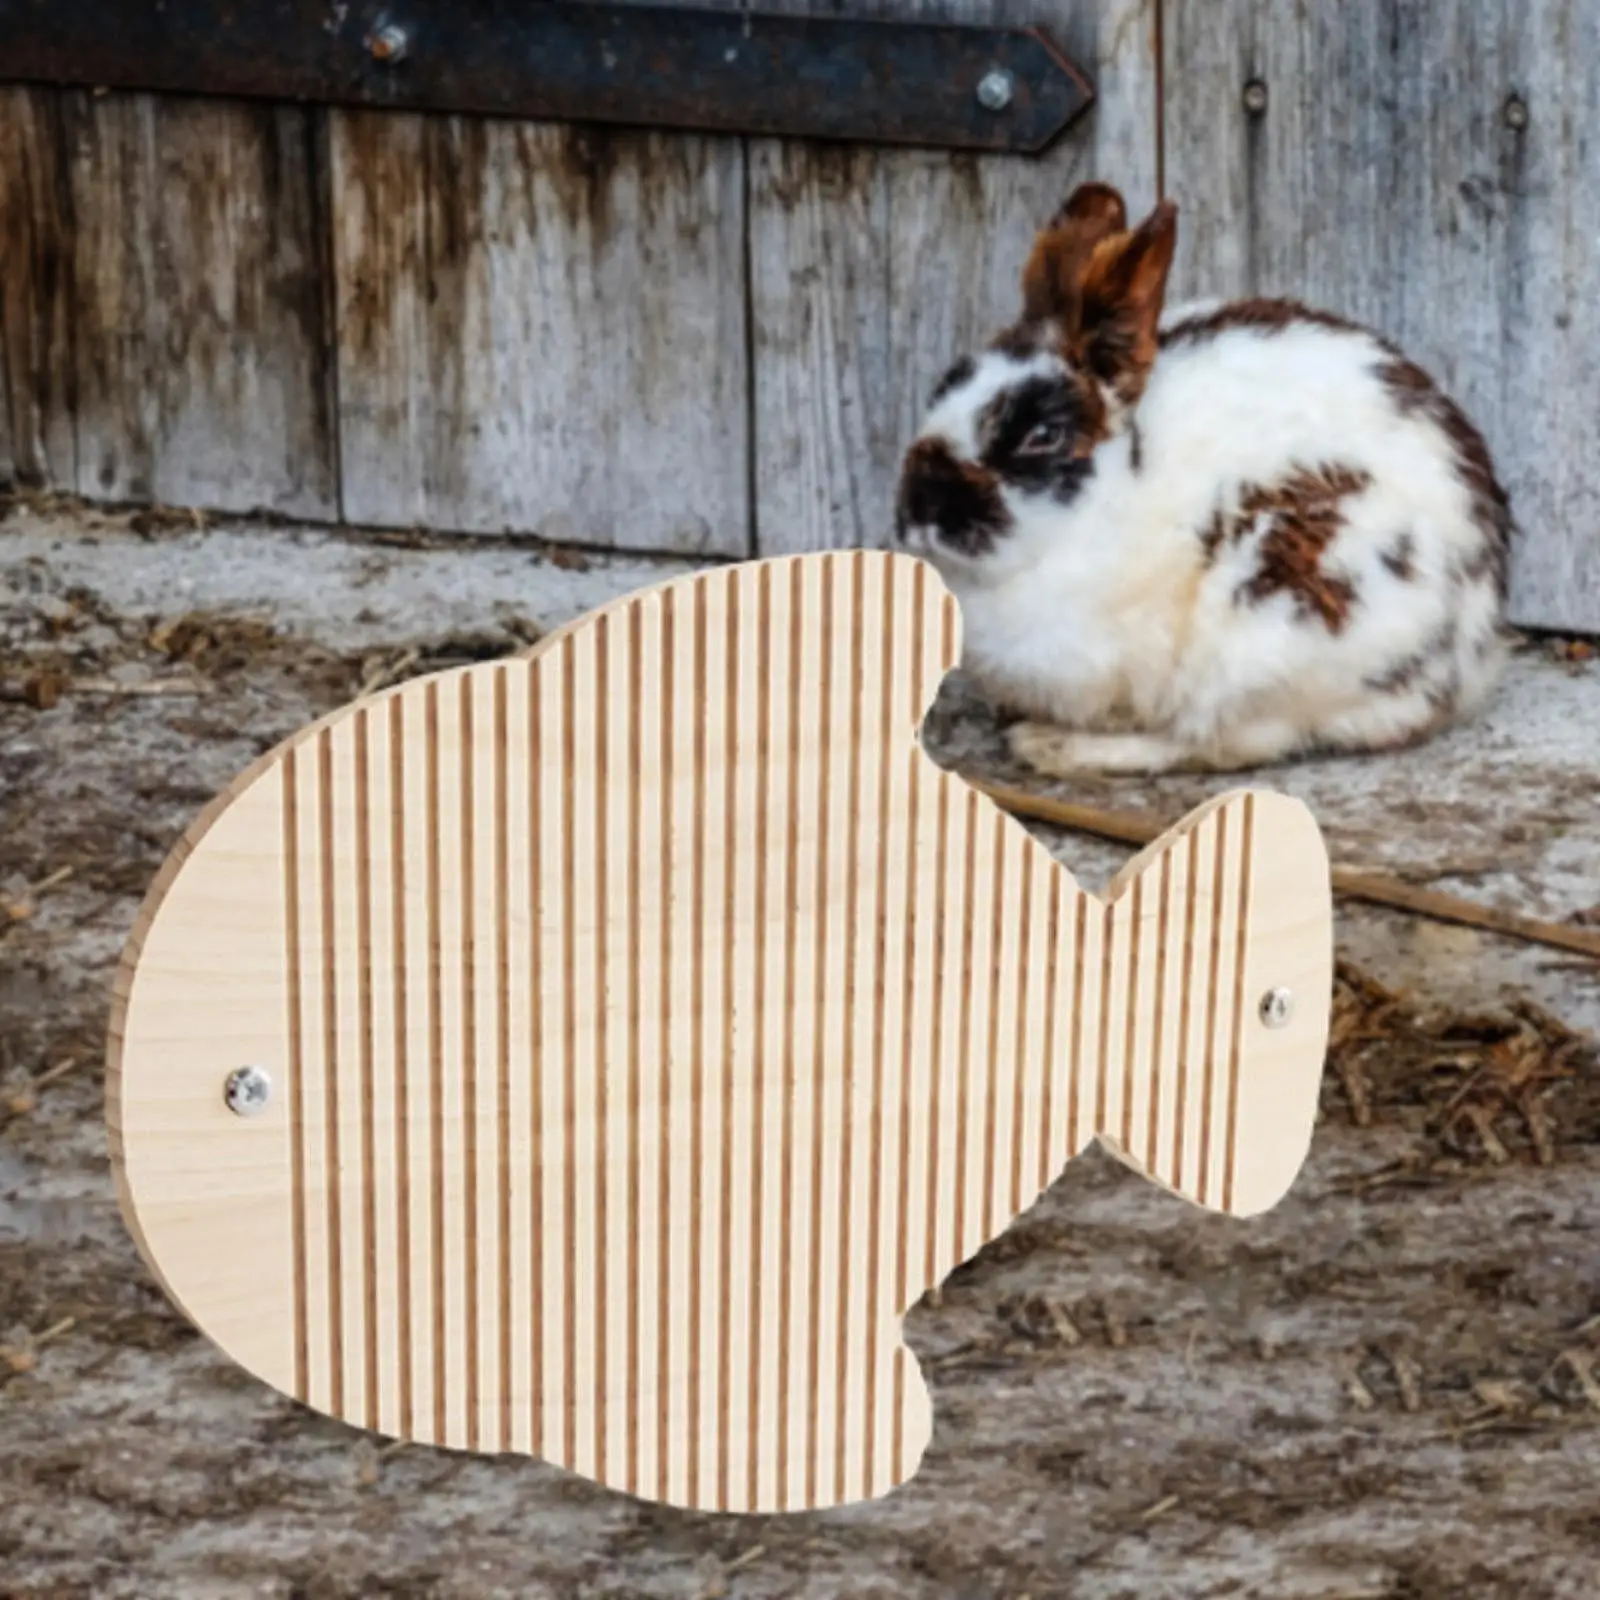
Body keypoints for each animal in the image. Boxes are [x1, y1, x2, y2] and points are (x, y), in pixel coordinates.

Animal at [893, 181, 1517, 775]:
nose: (917, 510)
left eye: (1041, 435)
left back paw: (1055, 747)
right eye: (943, 387)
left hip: (1266, 631)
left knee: (1216, 744)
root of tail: (1468, 655)